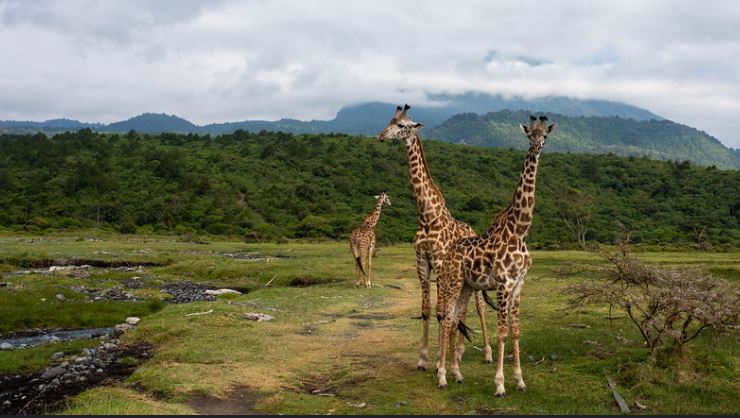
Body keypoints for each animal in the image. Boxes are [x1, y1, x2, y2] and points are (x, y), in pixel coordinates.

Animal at [378, 105, 494, 370]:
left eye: (402, 125)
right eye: (390, 120)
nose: (380, 136)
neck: (427, 216)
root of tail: (473, 231)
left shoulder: (440, 263)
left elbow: (442, 312)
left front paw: (441, 363)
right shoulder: (422, 262)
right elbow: (427, 310)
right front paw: (423, 359)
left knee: (479, 308)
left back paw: (487, 353)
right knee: (462, 309)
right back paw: (459, 351)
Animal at [434, 114, 556, 396]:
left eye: (545, 136)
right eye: (529, 135)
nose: (537, 147)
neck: (520, 231)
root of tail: (446, 256)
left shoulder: (519, 284)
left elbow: (516, 331)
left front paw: (520, 381)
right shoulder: (502, 283)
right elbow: (501, 332)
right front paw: (500, 384)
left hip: (467, 286)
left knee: (454, 320)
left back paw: (457, 374)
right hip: (452, 282)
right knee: (446, 321)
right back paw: (442, 377)